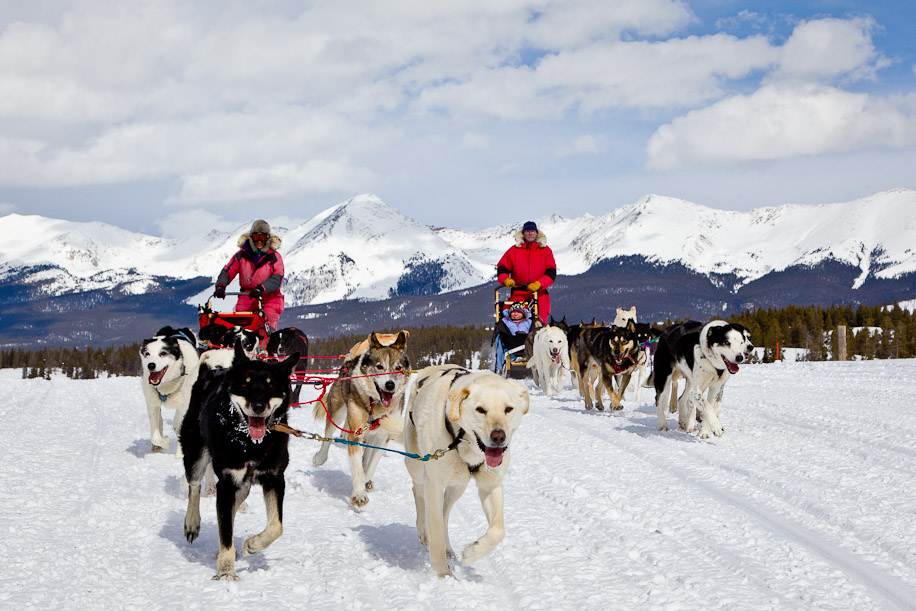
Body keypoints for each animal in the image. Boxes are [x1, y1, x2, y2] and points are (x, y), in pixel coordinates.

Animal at [182, 342, 300, 580]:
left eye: (271, 385)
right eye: (245, 384)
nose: (258, 406)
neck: (251, 445)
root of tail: (212, 372)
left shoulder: (274, 478)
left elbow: (276, 525)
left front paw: (253, 544)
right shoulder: (227, 483)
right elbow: (226, 531)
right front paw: (226, 573)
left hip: (242, 486)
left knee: (232, 509)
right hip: (196, 456)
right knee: (194, 486)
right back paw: (192, 523)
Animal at [312, 330, 408, 506]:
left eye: (398, 368)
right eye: (379, 366)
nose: (390, 385)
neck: (374, 405)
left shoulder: (383, 437)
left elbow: (370, 466)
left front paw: (365, 482)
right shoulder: (355, 432)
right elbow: (357, 466)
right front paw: (359, 494)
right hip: (337, 412)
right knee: (327, 437)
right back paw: (319, 458)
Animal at [402, 366, 524, 580]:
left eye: (508, 409)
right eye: (480, 409)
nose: (499, 436)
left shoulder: (490, 485)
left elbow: (498, 530)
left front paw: (473, 552)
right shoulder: (433, 484)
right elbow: (435, 529)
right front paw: (443, 575)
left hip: (458, 485)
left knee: (445, 513)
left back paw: (449, 549)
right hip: (418, 467)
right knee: (419, 495)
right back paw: (424, 532)